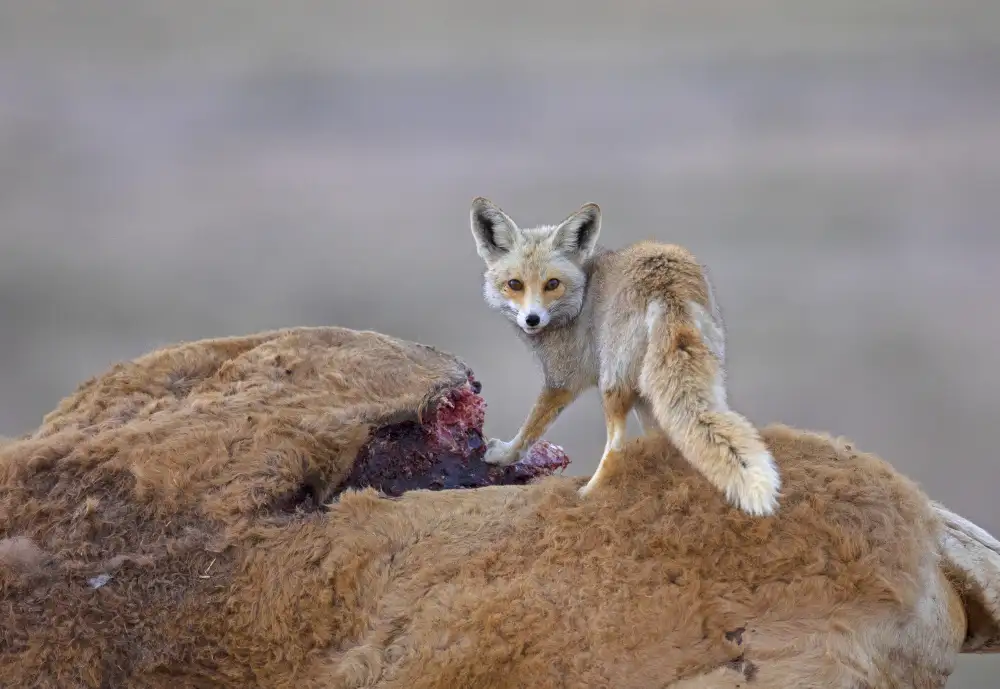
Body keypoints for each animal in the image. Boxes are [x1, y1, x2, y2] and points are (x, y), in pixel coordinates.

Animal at [469, 197, 780, 516]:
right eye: (515, 284)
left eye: (552, 284)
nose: (532, 319)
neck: (579, 300)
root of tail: (667, 285)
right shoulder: (643, 396)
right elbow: (658, 437)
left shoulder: (562, 380)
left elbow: (528, 432)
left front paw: (501, 455)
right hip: (675, 380)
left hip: (612, 382)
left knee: (617, 446)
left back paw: (588, 494)